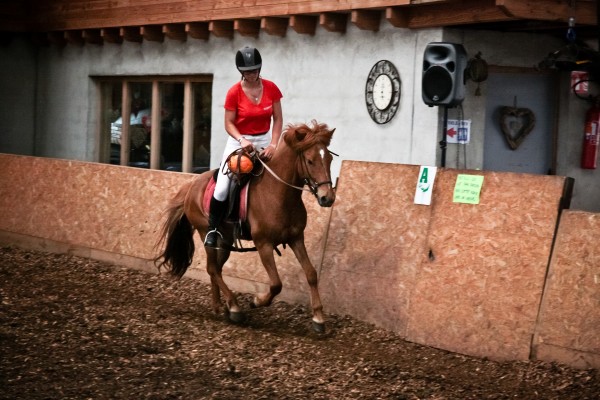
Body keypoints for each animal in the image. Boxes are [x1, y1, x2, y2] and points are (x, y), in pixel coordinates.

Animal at [152, 121, 336, 332]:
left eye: (329, 159)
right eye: (310, 161)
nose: (327, 198)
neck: (279, 194)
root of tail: (192, 185)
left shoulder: (296, 238)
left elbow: (311, 274)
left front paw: (318, 318)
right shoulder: (264, 244)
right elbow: (276, 284)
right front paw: (256, 301)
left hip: (225, 241)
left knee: (214, 268)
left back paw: (219, 306)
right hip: (206, 232)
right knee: (213, 268)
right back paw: (234, 308)